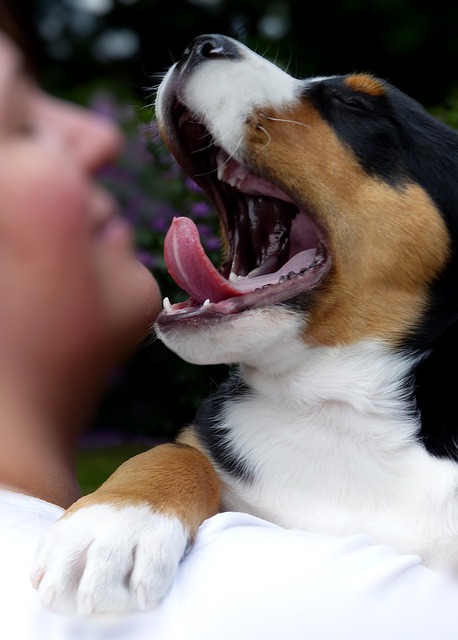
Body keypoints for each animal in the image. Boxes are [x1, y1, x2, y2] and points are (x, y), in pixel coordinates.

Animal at [31, 33, 458, 616]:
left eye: (354, 105)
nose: (201, 43)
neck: (338, 405)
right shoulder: (205, 444)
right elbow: (171, 452)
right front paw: (112, 525)